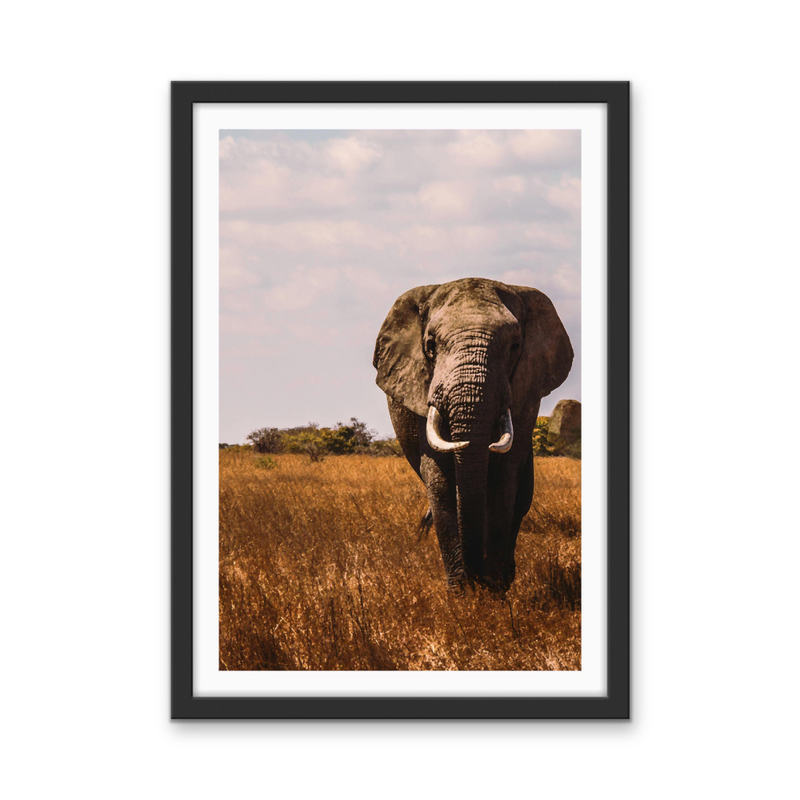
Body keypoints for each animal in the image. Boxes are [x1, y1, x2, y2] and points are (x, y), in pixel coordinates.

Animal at [373, 277, 573, 592]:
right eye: (430, 345)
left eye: (515, 346)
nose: (475, 579)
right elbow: (440, 480)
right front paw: (462, 594)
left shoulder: (525, 394)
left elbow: (505, 478)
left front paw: (493, 591)